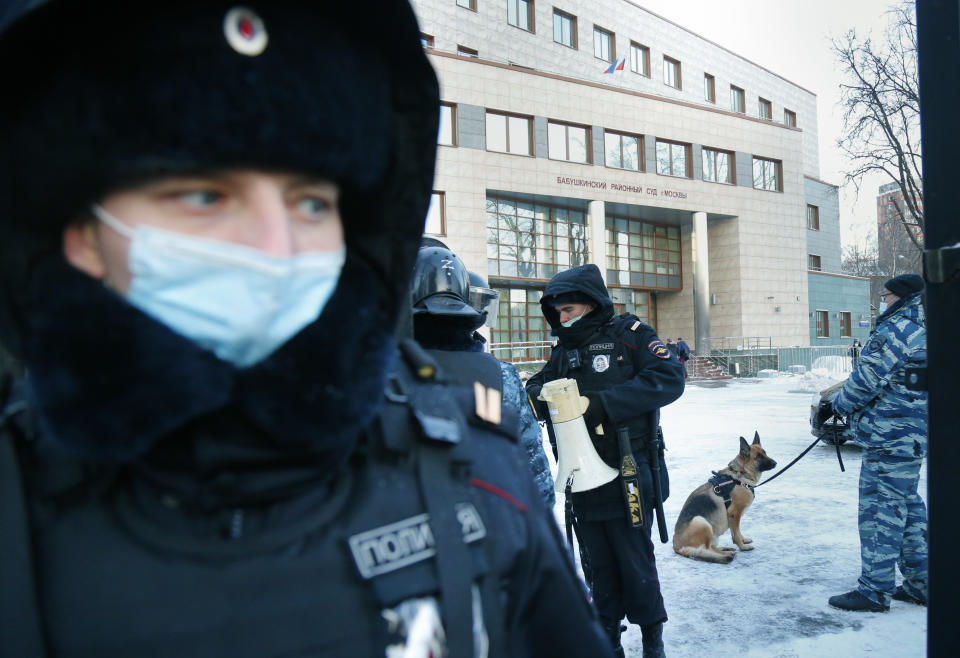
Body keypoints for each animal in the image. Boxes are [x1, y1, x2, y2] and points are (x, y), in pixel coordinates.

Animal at [672, 430, 776, 564]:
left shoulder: (734, 516)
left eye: (765, 453)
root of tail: (676, 547)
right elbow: (736, 534)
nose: (775, 463)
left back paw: (725, 549)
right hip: (701, 521)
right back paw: (726, 553)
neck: (741, 475)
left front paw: (743, 540)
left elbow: (737, 532)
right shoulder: (734, 513)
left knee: (710, 547)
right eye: (758, 456)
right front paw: (743, 547)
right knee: (706, 549)